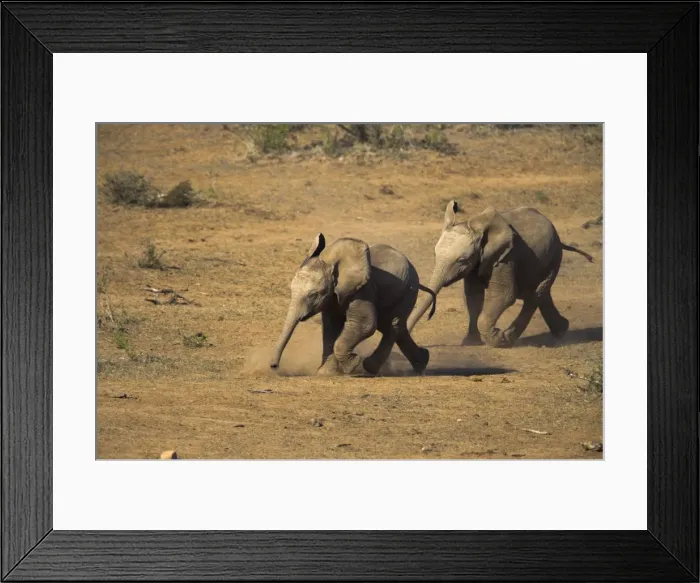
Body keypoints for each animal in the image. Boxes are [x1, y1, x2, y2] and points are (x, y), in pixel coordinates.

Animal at [270, 233, 437, 376]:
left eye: (312, 295)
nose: (273, 366)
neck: (332, 263)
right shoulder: (333, 297)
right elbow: (330, 327)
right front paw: (326, 373)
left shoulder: (363, 290)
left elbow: (365, 324)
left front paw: (352, 364)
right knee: (393, 325)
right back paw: (422, 363)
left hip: (408, 291)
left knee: (392, 324)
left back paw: (370, 367)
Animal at [407, 201, 593, 348]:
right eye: (435, 255)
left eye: (462, 260)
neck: (475, 227)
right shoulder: (478, 261)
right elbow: (473, 297)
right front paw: (470, 342)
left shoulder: (505, 257)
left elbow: (504, 294)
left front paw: (495, 338)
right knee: (541, 293)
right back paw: (561, 331)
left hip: (554, 257)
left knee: (535, 295)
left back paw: (507, 338)